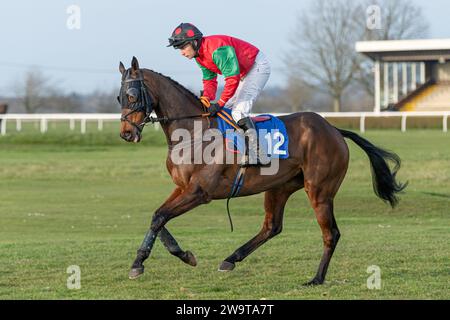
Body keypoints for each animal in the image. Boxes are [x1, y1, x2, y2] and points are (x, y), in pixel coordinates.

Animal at [118, 57, 406, 284]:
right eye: (119, 98)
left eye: (132, 96)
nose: (126, 134)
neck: (193, 133)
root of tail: (333, 129)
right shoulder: (182, 187)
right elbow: (158, 217)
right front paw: (177, 255)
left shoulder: (199, 192)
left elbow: (161, 217)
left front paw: (141, 264)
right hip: (279, 187)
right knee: (272, 226)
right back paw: (231, 259)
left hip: (320, 190)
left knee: (330, 233)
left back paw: (316, 278)